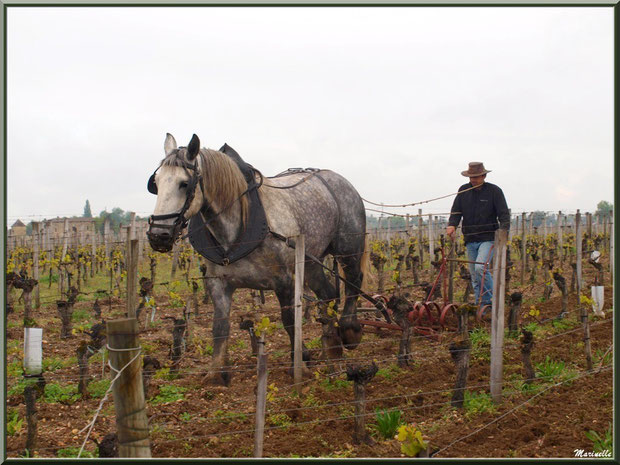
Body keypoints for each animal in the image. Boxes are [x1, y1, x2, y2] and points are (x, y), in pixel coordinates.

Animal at [145, 131, 368, 384]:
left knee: (353, 283)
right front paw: (216, 374)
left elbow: (290, 322)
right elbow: (219, 327)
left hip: (348, 249)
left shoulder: (285, 282)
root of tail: (339, 180)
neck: (236, 231)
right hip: (310, 261)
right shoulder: (218, 284)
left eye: (184, 183)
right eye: (156, 183)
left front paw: (300, 367)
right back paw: (330, 347)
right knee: (328, 294)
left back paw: (349, 331)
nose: (159, 235)